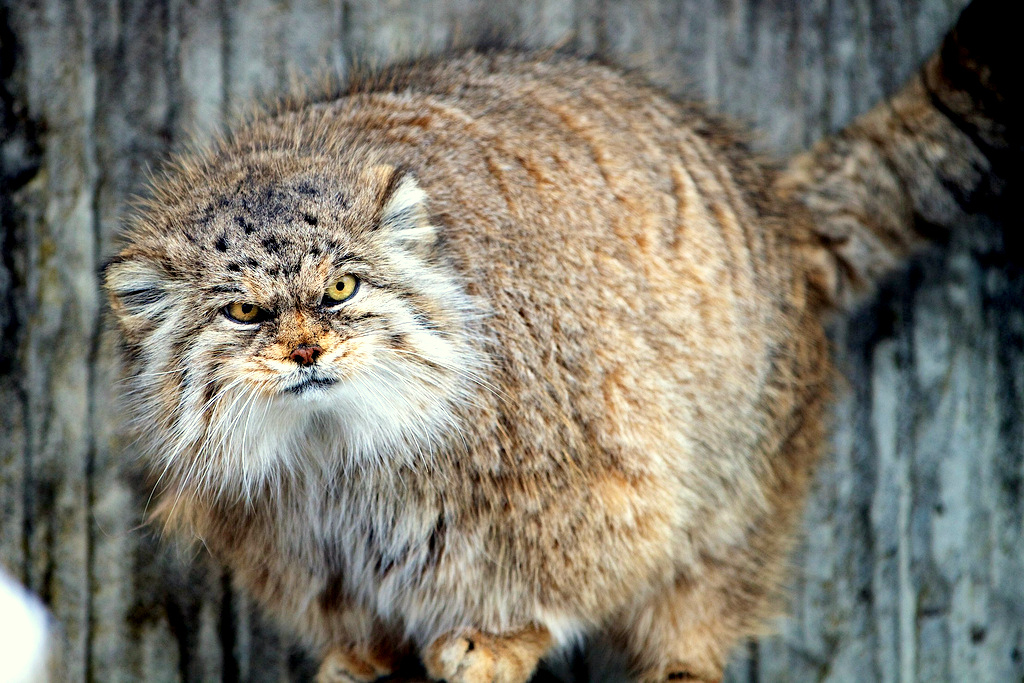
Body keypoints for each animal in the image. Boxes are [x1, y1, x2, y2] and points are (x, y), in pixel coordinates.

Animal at [103, 1, 1015, 683]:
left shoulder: (591, 474)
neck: (340, 449)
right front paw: (361, 652)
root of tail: (776, 206)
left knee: (700, 587)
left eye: (340, 290)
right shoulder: (289, 535)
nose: (305, 353)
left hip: (736, 484)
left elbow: (563, 572)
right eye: (243, 312)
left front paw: (504, 638)